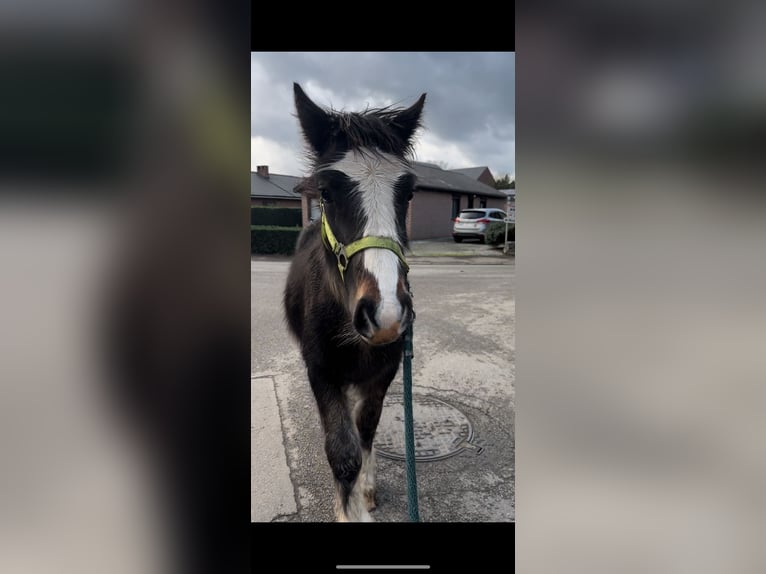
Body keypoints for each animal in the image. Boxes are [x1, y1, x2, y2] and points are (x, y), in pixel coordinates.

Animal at [284, 83, 426, 524]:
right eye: (326, 193)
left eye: (408, 193)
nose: (385, 316)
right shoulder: (320, 371)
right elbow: (342, 451)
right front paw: (347, 506)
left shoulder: (382, 373)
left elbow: (366, 432)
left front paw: (365, 491)